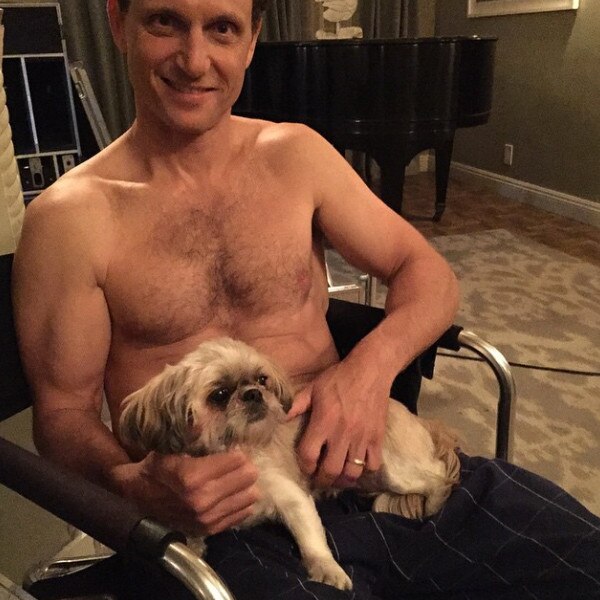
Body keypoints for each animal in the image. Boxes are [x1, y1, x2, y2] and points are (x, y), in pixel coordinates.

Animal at [119, 337, 460, 591]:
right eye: (219, 394)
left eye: (262, 379)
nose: (253, 394)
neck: (243, 450)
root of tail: (422, 422)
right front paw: (192, 543)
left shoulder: (292, 497)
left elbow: (311, 539)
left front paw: (327, 569)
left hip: (394, 468)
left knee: (440, 478)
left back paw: (434, 503)